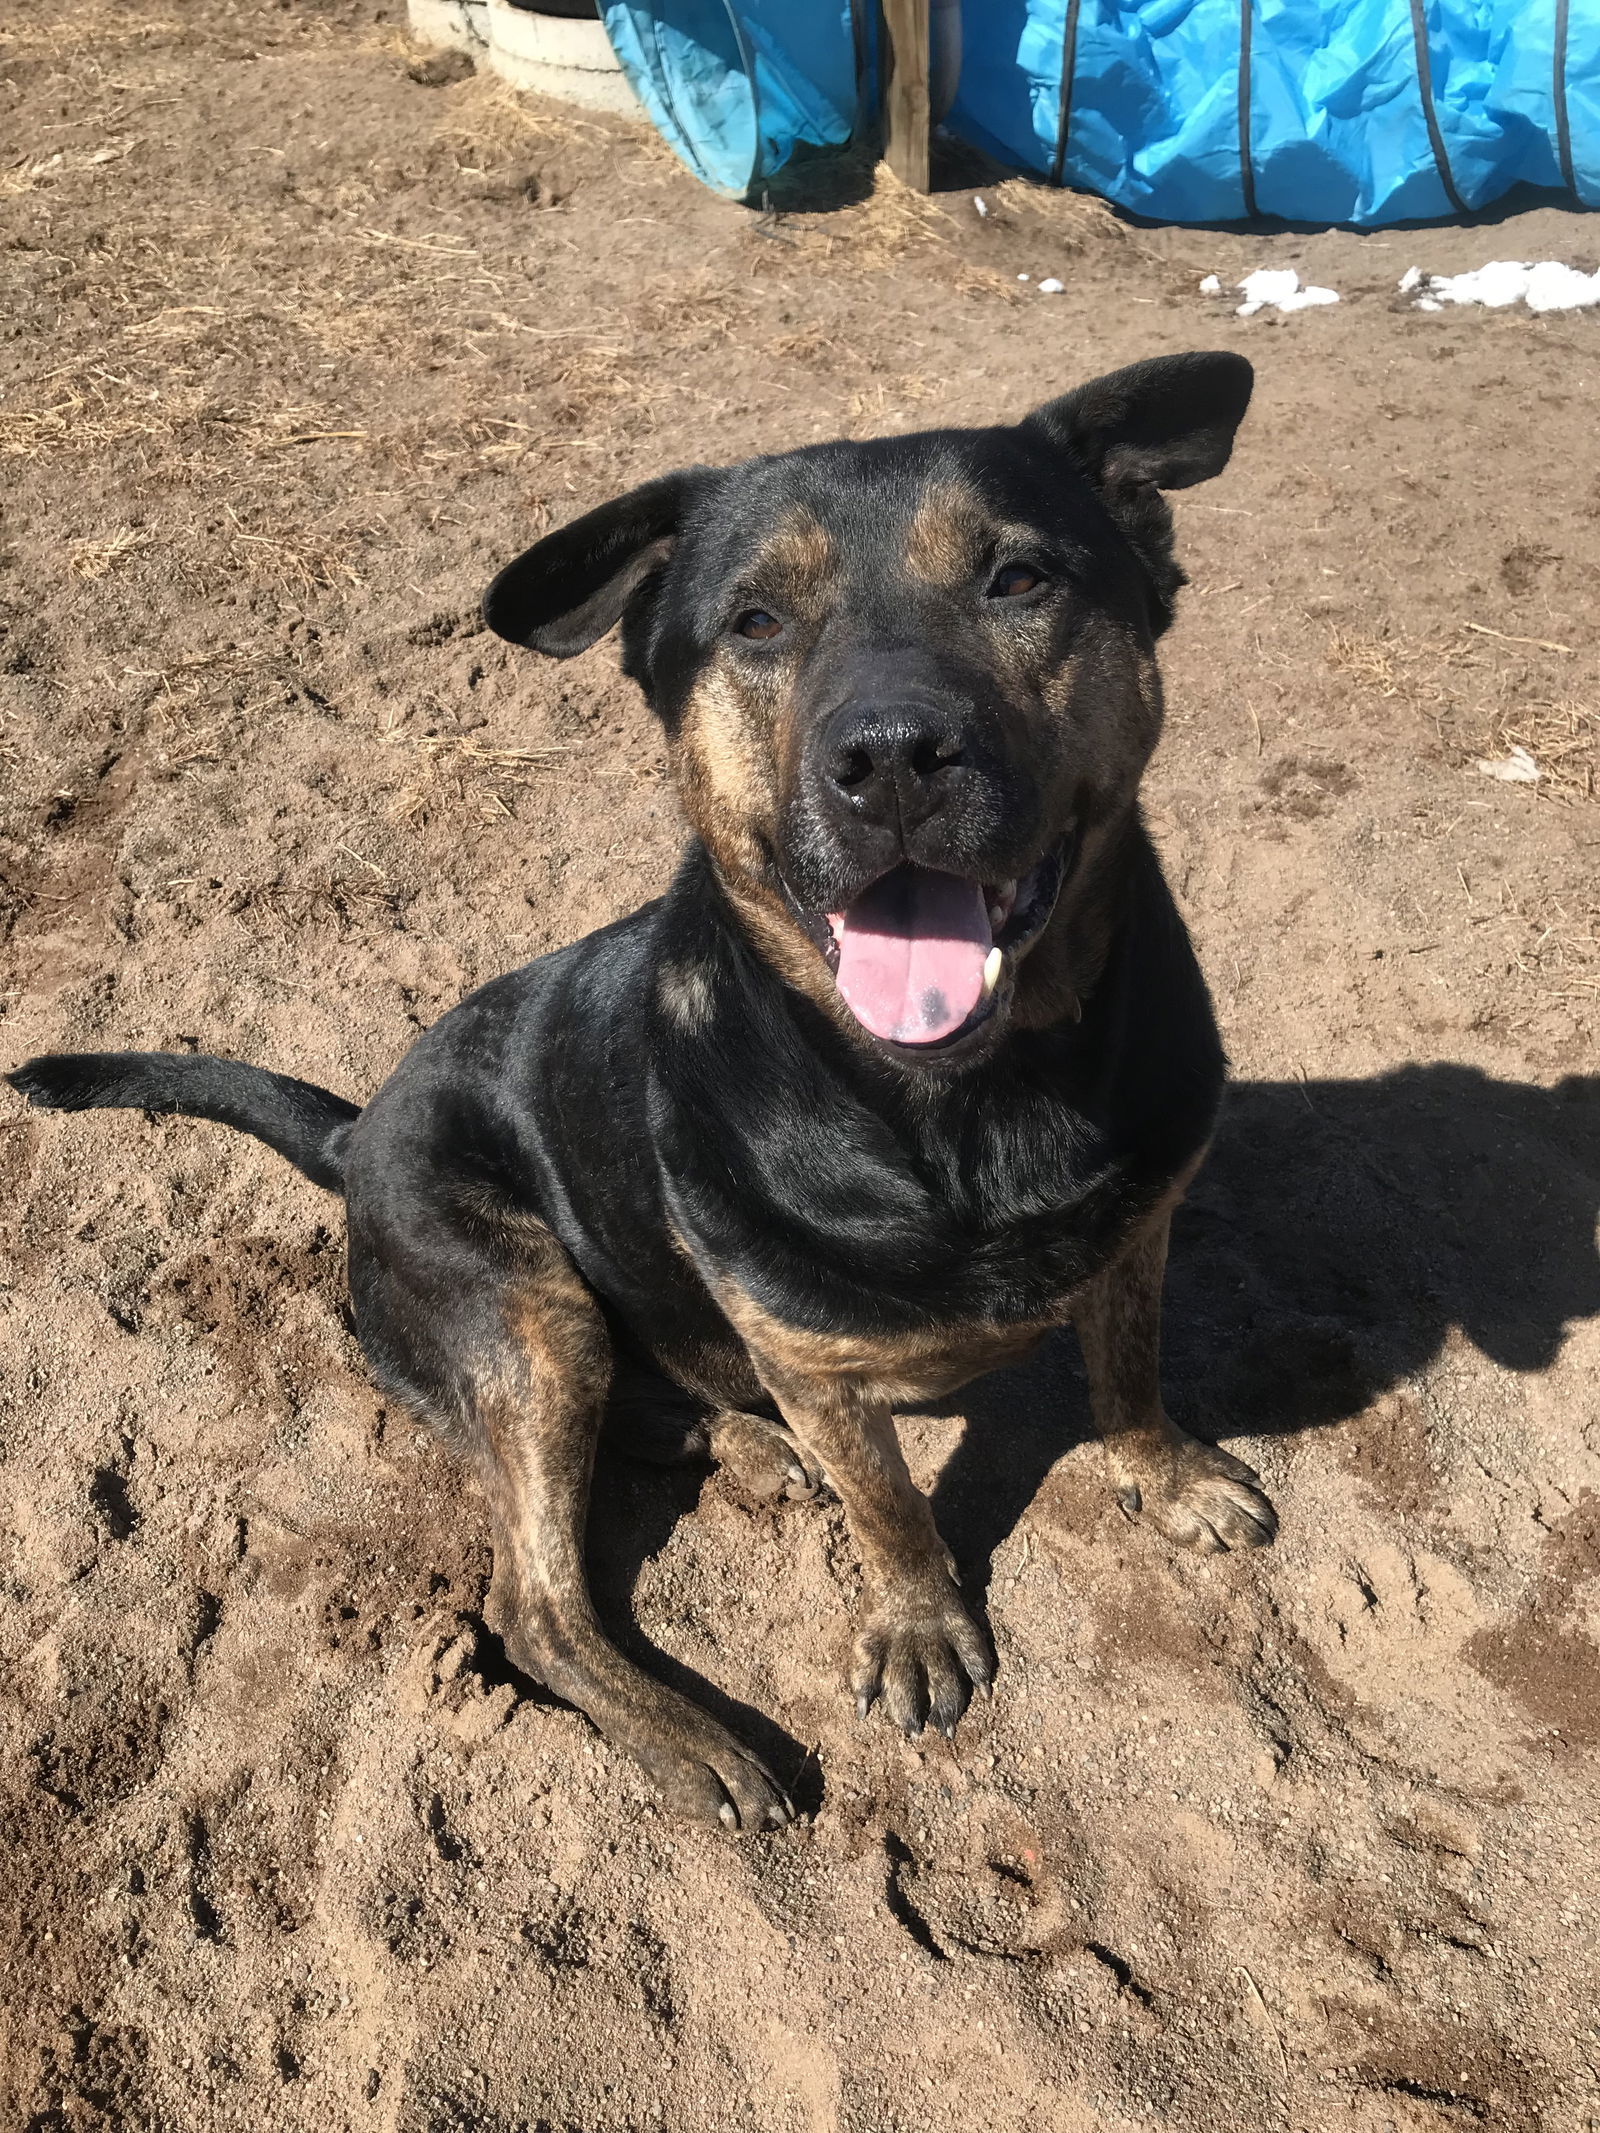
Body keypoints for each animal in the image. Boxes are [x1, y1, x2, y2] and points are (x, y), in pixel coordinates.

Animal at [6, 354, 1280, 1834]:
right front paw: (916, 1620)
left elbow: (1128, 1368)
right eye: (755, 620)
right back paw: (698, 1736)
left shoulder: (1140, 1230)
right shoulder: (814, 1362)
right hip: (529, 1310)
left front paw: (1163, 1471)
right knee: (538, 1601)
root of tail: (357, 1128)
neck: (967, 1102)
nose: (893, 755)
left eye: (1018, 579)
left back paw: (735, 1447)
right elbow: (893, 1505)